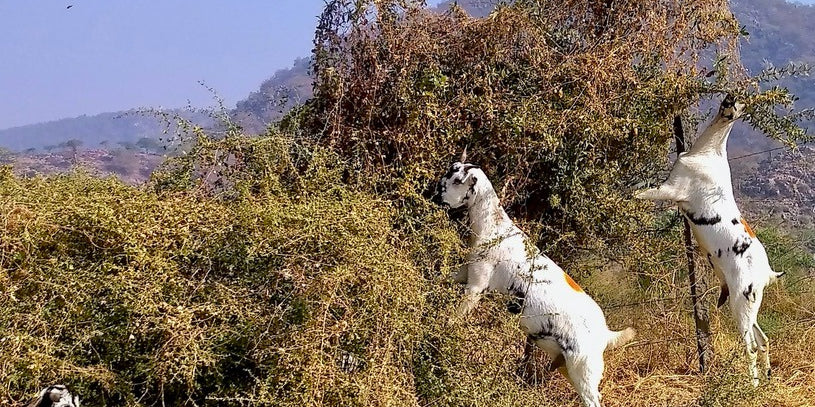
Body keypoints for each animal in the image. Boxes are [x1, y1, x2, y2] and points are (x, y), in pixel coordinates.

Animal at [430, 151, 636, 406]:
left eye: (458, 180)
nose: (433, 195)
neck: (495, 228)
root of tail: (606, 334)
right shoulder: (465, 272)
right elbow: (441, 279)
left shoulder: (476, 285)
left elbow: (454, 318)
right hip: (568, 368)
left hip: (584, 372)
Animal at [636, 97, 784, 388]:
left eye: (739, 107)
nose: (729, 101)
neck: (708, 152)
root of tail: (767, 273)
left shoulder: (670, 189)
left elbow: (637, 193)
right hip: (750, 307)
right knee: (763, 341)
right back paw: (767, 378)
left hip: (741, 303)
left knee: (751, 346)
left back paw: (753, 385)